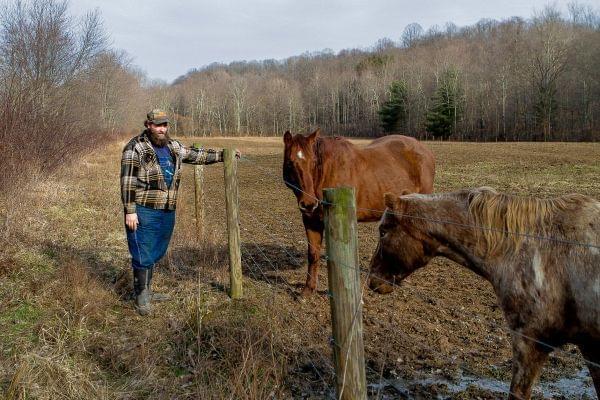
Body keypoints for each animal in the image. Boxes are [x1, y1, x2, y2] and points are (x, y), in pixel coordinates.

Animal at [284, 128, 434, 296]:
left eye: (314, 162)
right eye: (290, 163)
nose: (309, 203)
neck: (326, 173)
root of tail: (424, 150)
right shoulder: (311, 220)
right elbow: (313, 254)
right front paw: (308, 290)